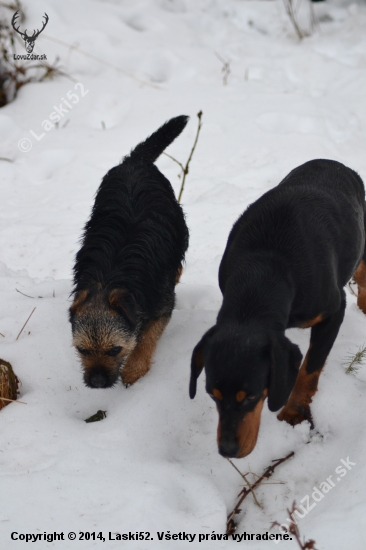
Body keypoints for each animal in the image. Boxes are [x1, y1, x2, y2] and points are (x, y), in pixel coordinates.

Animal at [69, 117, 189, 392]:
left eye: (115, 350)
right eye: (82, 350)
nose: (97, 383)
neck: (110, 278)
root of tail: (134, 161)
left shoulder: (162, 303)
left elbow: (147, 337)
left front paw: (135, 368)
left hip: (179, 224)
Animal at [189, 161, 366, 462]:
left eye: (250, 396)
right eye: (212, 395)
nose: (227, 451)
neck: (263, 268)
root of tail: (336, 164)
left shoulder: (333, 310)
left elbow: (310, 367)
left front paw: (294, 411)